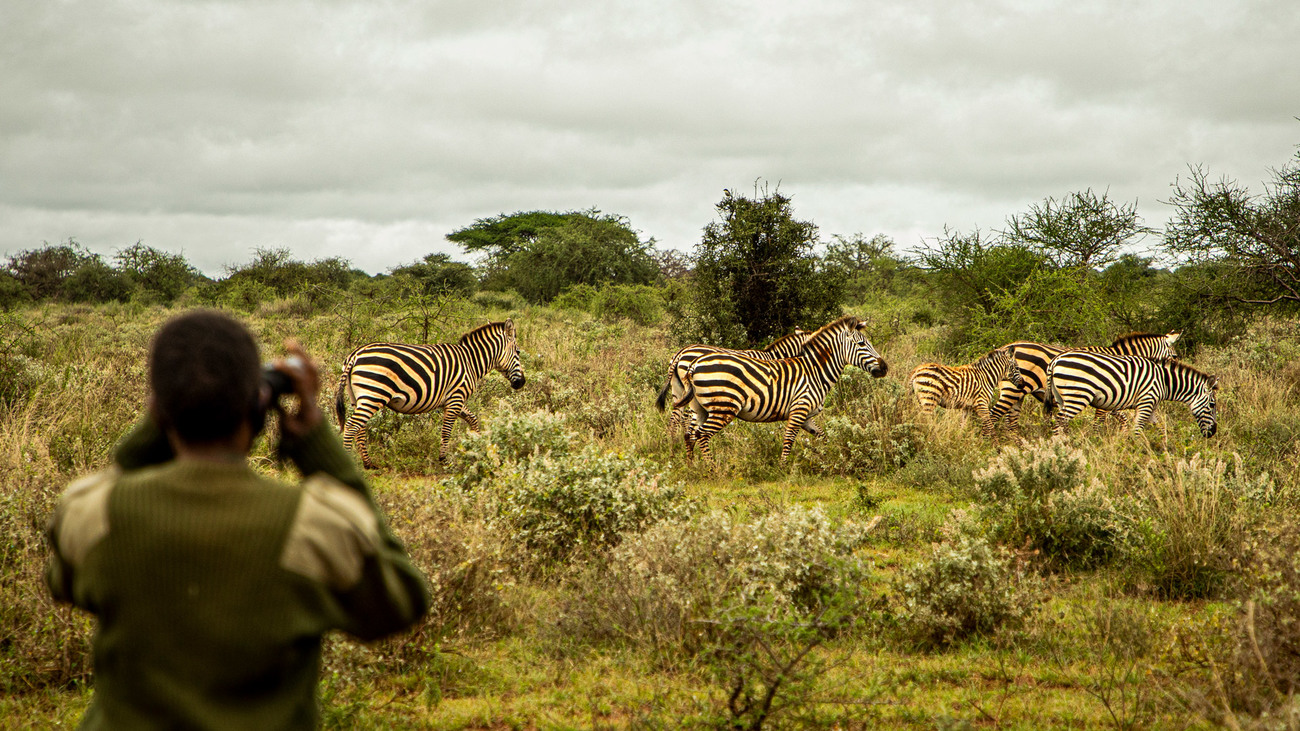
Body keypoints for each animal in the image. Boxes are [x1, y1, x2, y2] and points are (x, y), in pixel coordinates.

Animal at [335, 318, 527, 465]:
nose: (522, 383)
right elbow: (447, 430)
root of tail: (355, 355)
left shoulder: (452, 400)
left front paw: (476, 446)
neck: (471, 361)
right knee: (352, 426)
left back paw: (368, 463)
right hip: (374, 394)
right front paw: (444, 460)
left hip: (358, 397)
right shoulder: (456, 397)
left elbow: (473, 419)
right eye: (518, 352)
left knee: (360, 428)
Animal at [676, 314, 889, 460]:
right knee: (701, 434)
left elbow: (823, 436)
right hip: (723, 408)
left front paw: (833, 456)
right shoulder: (799, 409)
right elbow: (788, 439)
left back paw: (694, 466)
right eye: (861, 344)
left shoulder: (806, 416)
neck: (815, 371)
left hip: (700, 408)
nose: (885, 367)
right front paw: (783, 468)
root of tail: (693, 364)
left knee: (691, 434)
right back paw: (711, 470)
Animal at [993, 331, 1180, 431]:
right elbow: (1099, 423)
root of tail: (1005, 348)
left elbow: (1122, 419)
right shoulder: (1108, 395)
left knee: (1011, 421)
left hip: (1018, 393)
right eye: (1175, 356)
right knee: (995, 414)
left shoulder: (1112, 398)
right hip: (1012, 390)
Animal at [1040, 351, 1211, 434]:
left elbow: (1160, 428)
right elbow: (1137, 428)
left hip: (1061, 397)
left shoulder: (1150, 406)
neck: (1164, 381)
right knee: (1060, 421)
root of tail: (1055, 360)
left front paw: (1164, 449)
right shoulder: (1146, 402)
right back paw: (1059, 447)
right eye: (1212, 406)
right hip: (1078, 396)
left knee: (1062, 423)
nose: (1212, 433)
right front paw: (1134, 451)